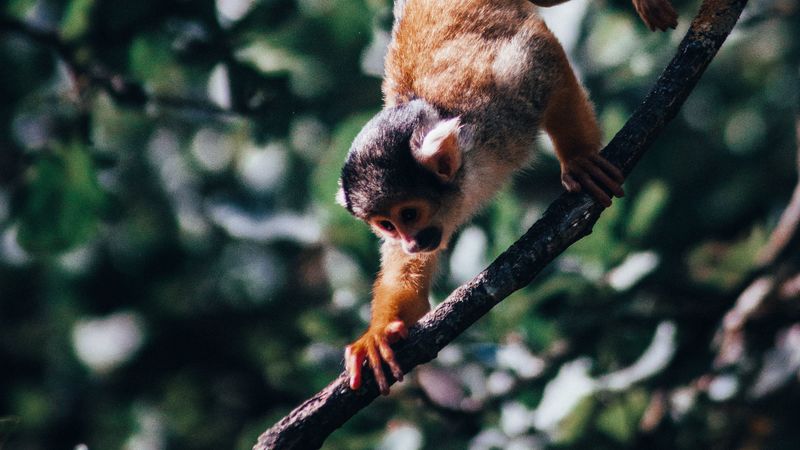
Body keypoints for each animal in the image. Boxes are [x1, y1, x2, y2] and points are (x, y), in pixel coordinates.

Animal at [336, 0, 677, 395]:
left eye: (409, 215)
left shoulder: (493, 107)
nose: (409, 242)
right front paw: (378, 335)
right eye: (387, 225)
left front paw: (578, 158)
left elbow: (539, 54)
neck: (468, 171)